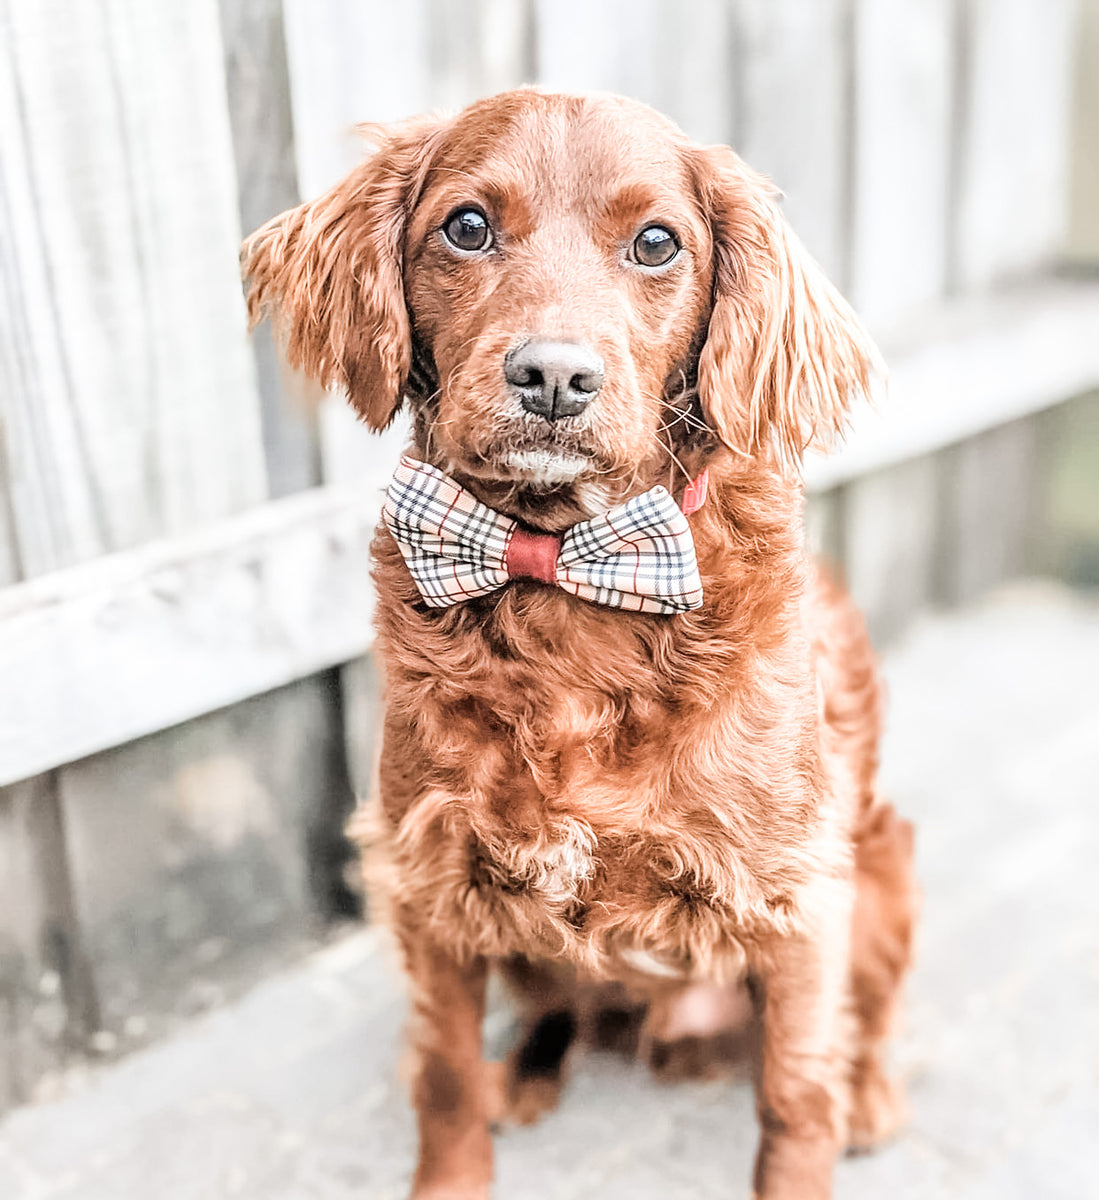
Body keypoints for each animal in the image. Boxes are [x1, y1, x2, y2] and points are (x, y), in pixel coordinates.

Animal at [242, 91, 916, 1200]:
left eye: (656, 243)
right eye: (467, 227)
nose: (553, 375)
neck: (566, 580)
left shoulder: (798, 900)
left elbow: (794, 1101)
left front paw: (826, 1116)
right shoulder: (430, 883)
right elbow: (442, 1080)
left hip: (886, 866)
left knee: (862, 1027)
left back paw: (869, 1096)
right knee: (556, 1006)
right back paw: (526, 1071)